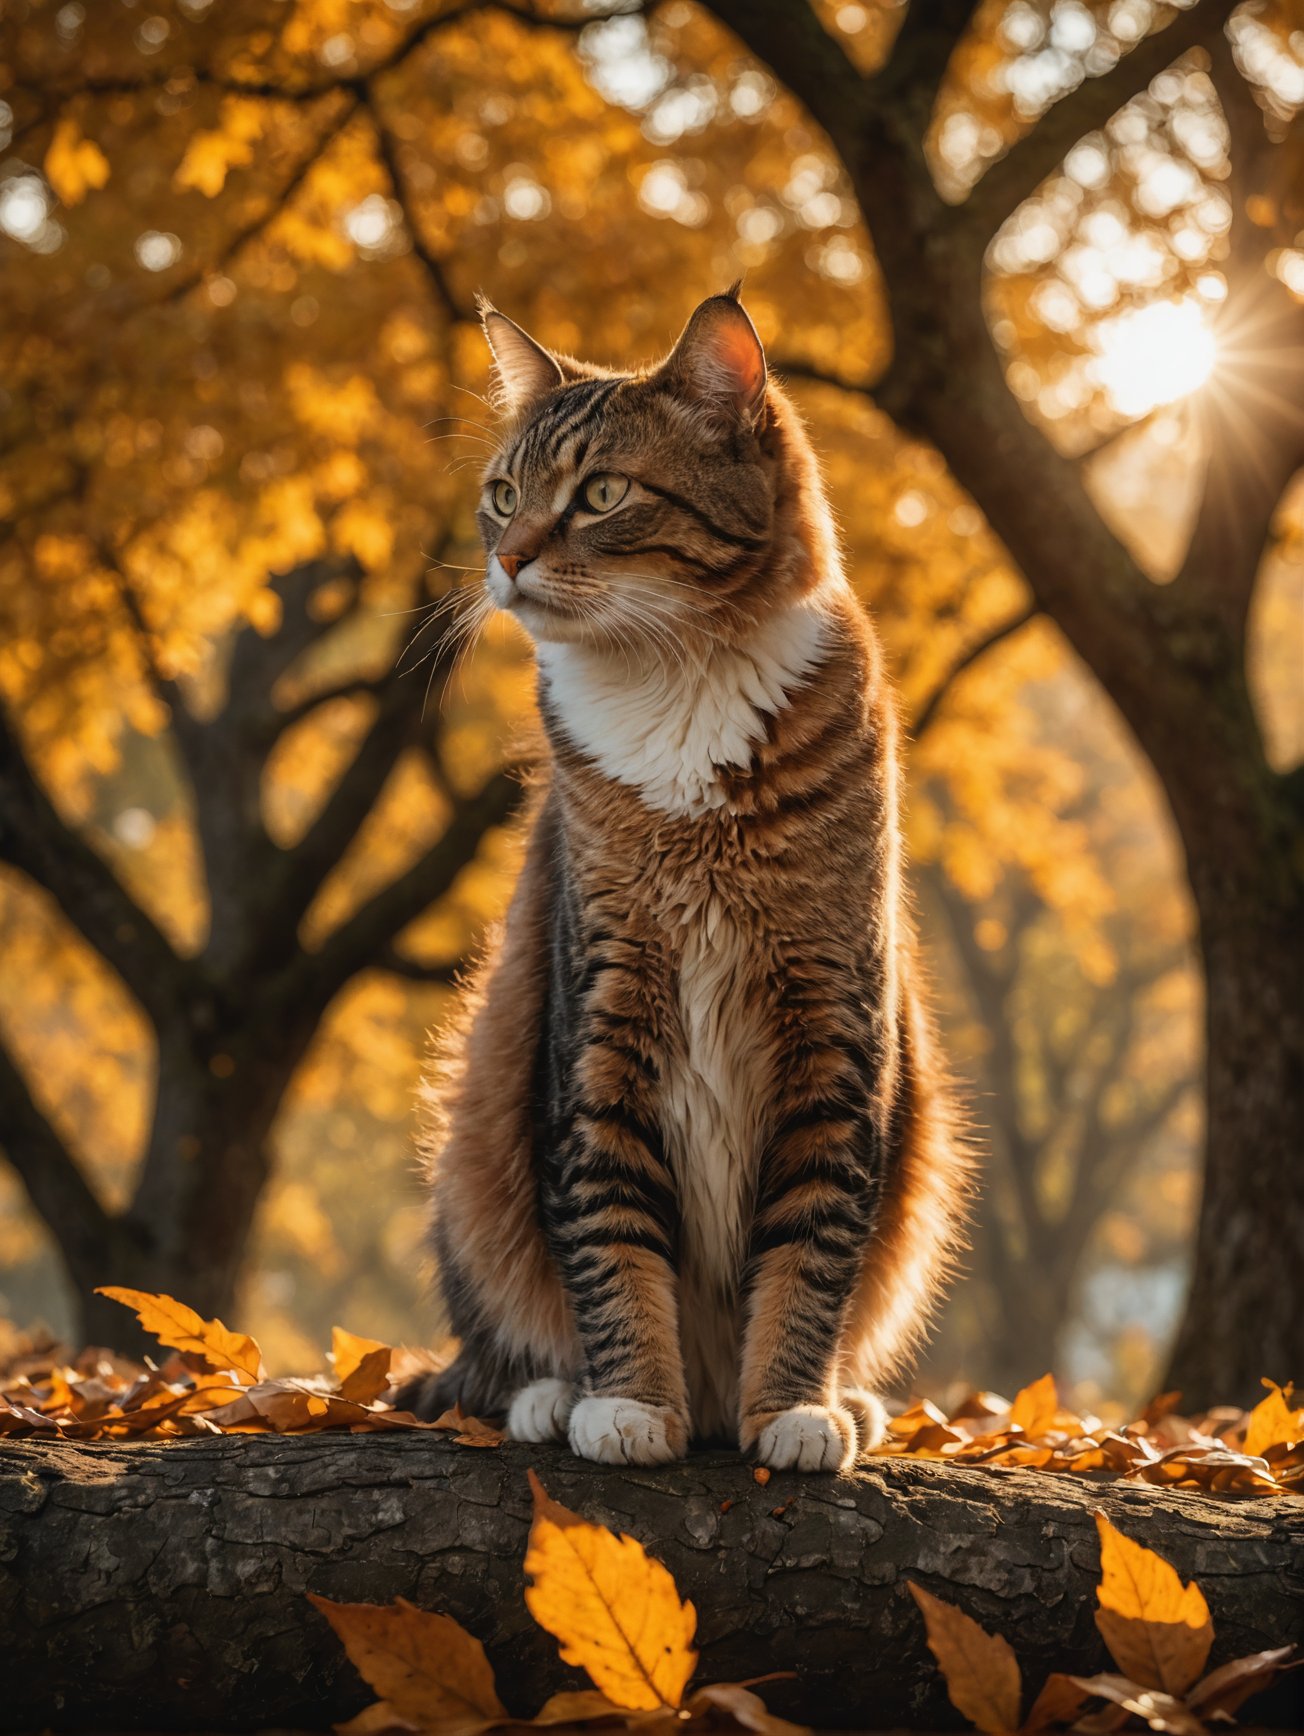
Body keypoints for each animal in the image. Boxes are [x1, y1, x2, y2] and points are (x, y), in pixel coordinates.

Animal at [402, 291, 972, 1472]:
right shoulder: (602, 1011)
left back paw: (844, 1402)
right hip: (472, 1148)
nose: (507, 560)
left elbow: (813, 1242)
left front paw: (793, 1408)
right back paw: (549, 1396)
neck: (677, 683)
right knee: (494, 1347)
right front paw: (626, 1404)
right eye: (503, 496)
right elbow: (609, 1232)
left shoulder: (831, 1026)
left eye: (601, 493)